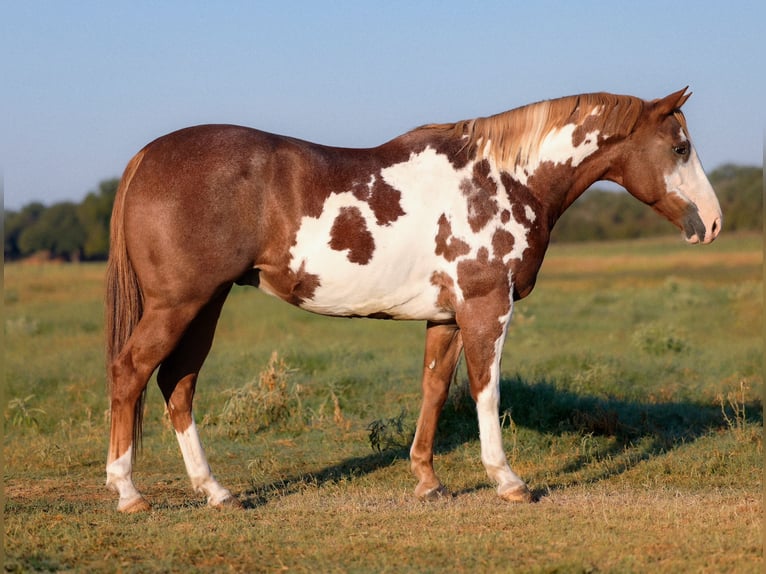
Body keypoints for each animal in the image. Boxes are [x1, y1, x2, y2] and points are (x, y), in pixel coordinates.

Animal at [105, 89, 724, 512]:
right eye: (680, 147)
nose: (713, 224)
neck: (503, 178)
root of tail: (148, 156)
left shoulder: (446, 317)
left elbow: (435, 389)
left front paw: (428, 481)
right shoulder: (486, 308)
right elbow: (485, 391)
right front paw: (507, 480)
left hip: (205, 306)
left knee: (177, 384)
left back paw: (216, 491)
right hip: (179, 304)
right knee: (131, 372)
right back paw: (128, 492)